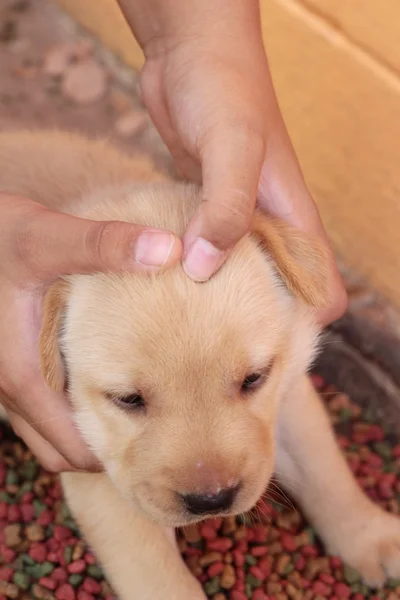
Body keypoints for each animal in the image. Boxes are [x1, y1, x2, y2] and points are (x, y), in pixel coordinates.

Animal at [0, 132, 400, 600]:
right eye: (128, 400)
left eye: (253, 379)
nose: (212, 500)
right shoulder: (98, 470)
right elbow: (158, 576)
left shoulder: (290, 388)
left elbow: (324, 467)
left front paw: (372, 536)